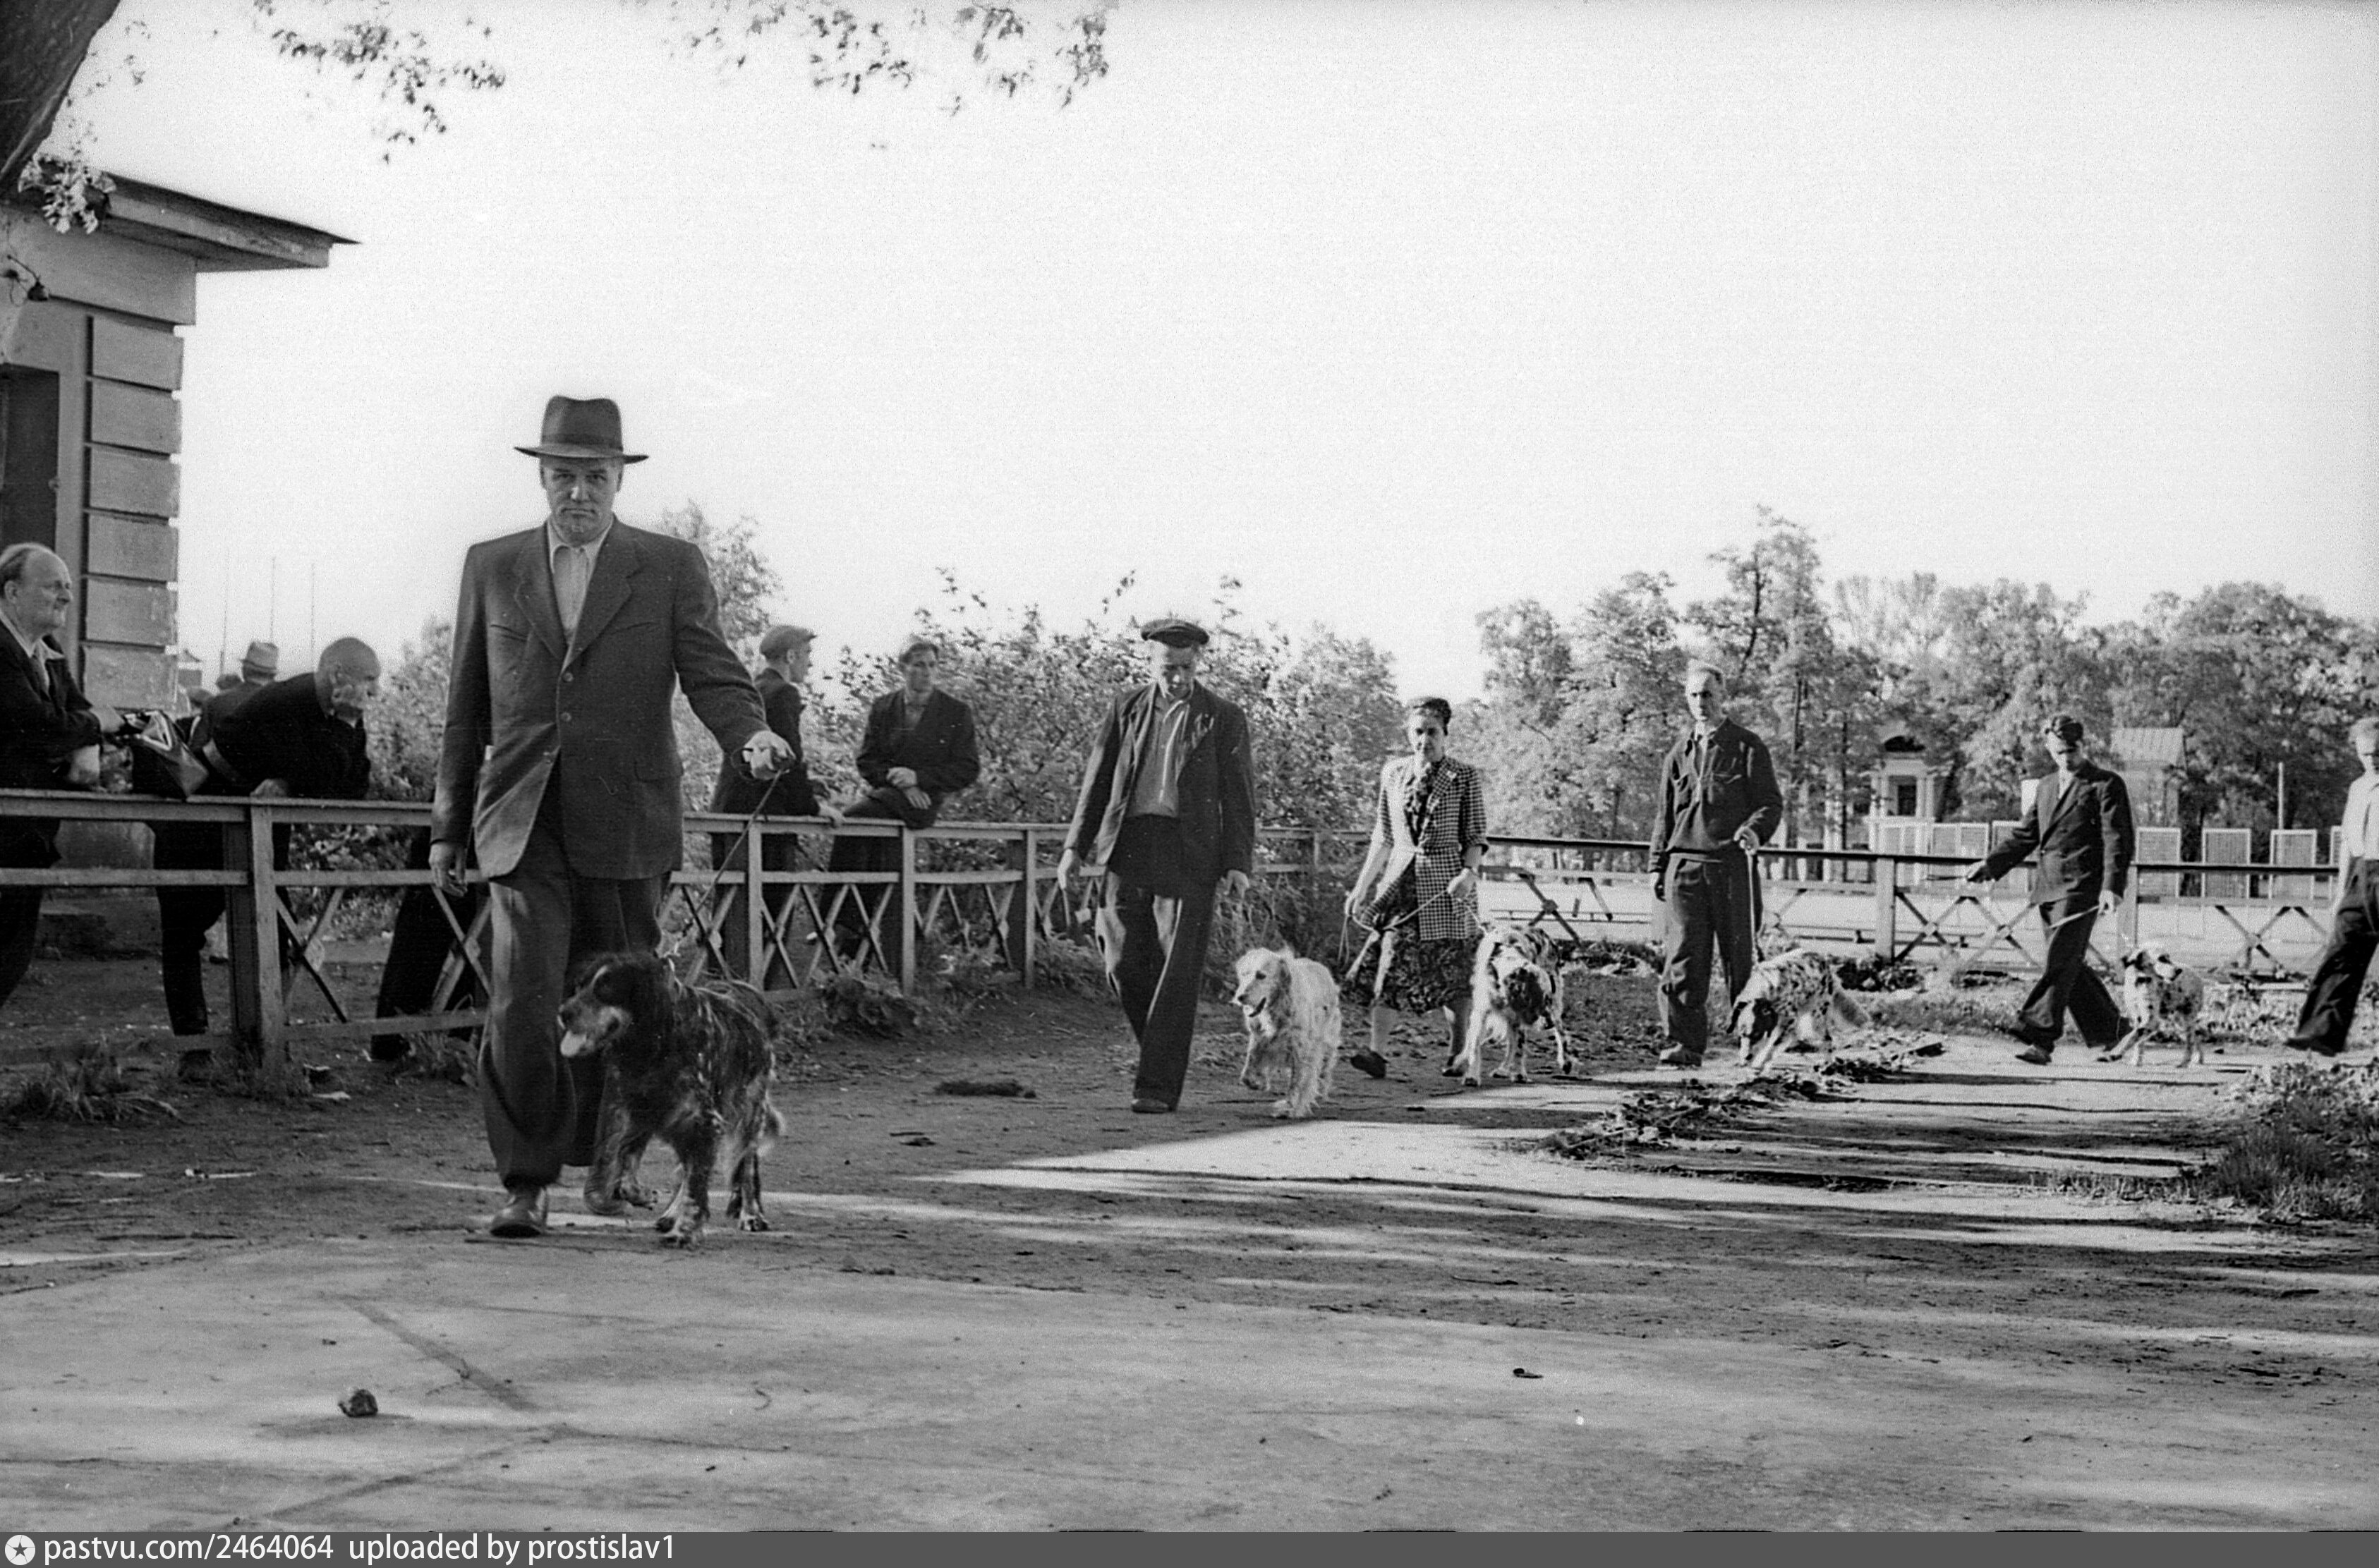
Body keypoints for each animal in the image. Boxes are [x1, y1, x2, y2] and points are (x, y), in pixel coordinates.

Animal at [556, 951, 784, 1247]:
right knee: (685, 1169)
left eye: (605, 989)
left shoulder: (705, 1122)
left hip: (749, 1114)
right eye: (579, 986)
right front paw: (642, 1195)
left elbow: (696, 1187)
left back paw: (752, 1213)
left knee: (746, 1167)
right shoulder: (642, 1111)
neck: (655, 1044)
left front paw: (685, 1231)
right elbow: (627, 1164)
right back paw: (671, 1213)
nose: (563, 1013)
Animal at [1231, 945, 1341, 1119]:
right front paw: (1258, 1081)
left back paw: (1321, 1092)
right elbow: (1249, 1068)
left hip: (1326, 1042)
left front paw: (1291, 1108)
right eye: (1244, 974)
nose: (1240, 997)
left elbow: (1297, 1082)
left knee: (1324, 1071)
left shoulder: (1301, 1049)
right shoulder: (1260, 1039)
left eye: (1261, 975)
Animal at [1453, 923, 1571, 1086]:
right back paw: (1502, 1069)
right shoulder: (1481, 1013)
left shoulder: (1521, 1015)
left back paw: (1565, 1061)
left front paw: (1520, 1074)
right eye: (1537, 999)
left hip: (1555, 1003)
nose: (1548, 1025)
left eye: (1545, 999)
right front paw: (1471, 1076)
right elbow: (1475, 1046)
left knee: (1561, 1033)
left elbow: (1520, 1047)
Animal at [1731, 948, 1868, 1073]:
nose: (1747, 1057)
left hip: (1815, 1021)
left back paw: (1827, 1065)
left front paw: (1760, 1062)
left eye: (1757, 1034)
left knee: (1828, 1039)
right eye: (1741, 1035)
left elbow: (1771, 1047)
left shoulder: (1788, 1024)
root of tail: (1826, 964)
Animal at [2110, 945, 2207, 1067]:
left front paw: (2115, 1053)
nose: (2179, 970)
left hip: (2185, 1020)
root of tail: (2197, 976)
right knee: (2196, 1038)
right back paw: (2199, 1058)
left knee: (2190, 1042)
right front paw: (2136, 1061)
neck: (2140, 983)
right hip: (2177, 1023)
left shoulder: (2151, 1020)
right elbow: (2137, 1041)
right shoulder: (2138, 1019)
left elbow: (2129, 1037)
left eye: (2168, 957)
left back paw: (2184, 1063)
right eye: (2161, 958)